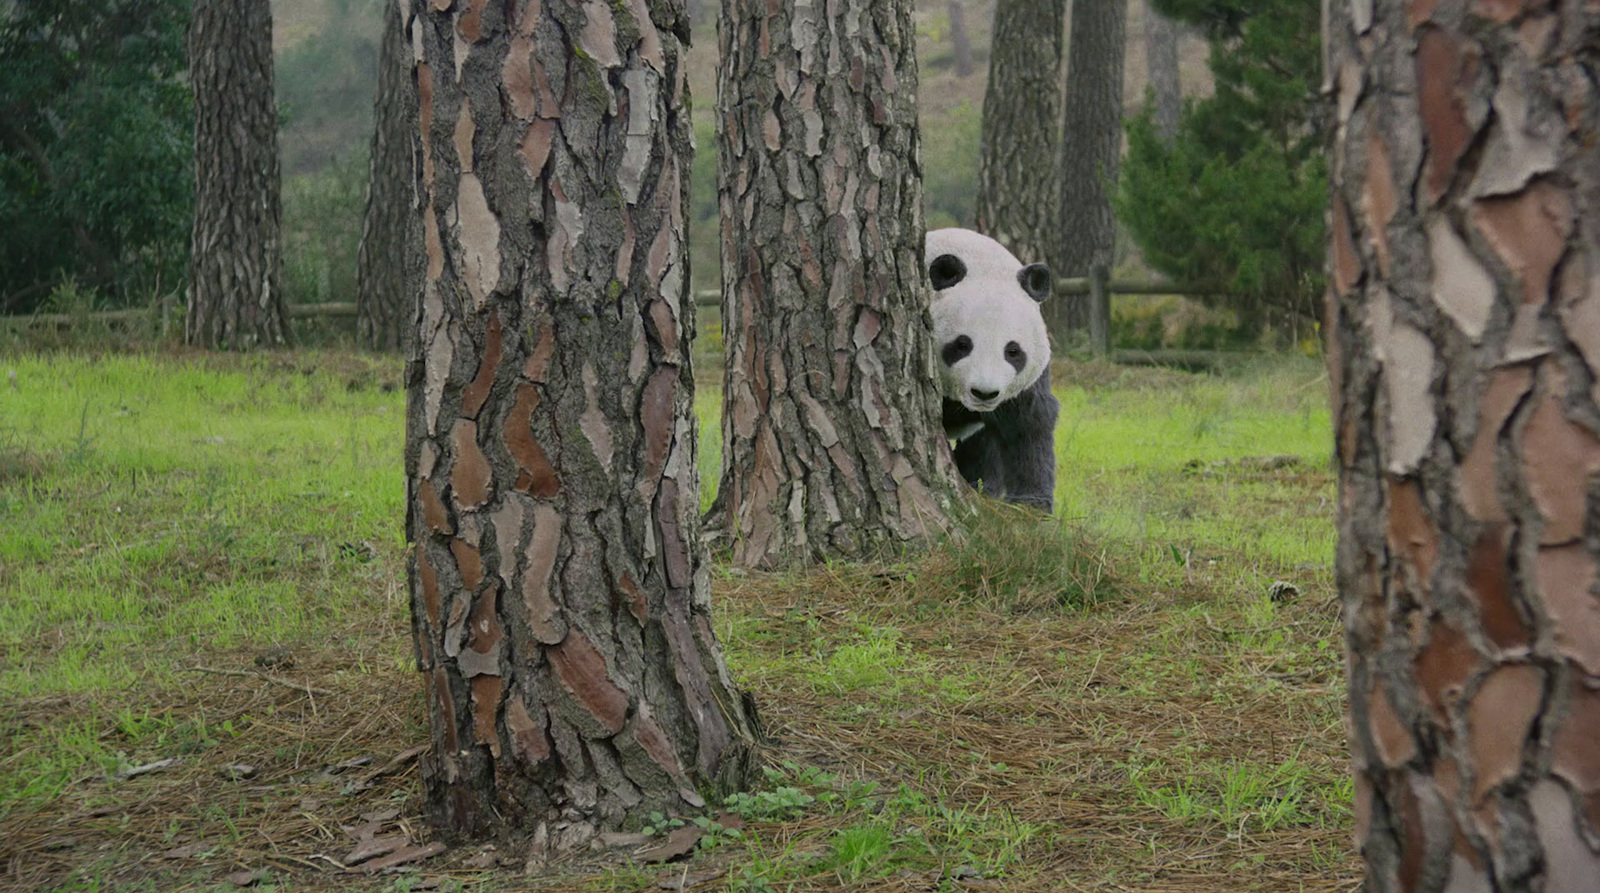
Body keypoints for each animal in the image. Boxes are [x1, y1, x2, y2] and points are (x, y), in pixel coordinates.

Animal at [928, 227, 1062, 515]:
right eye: (962, 344)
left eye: (1012, 351)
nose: (984, 393)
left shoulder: (1026, 381)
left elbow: (1028, 422)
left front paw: (1030, 504)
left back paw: (981, 486)